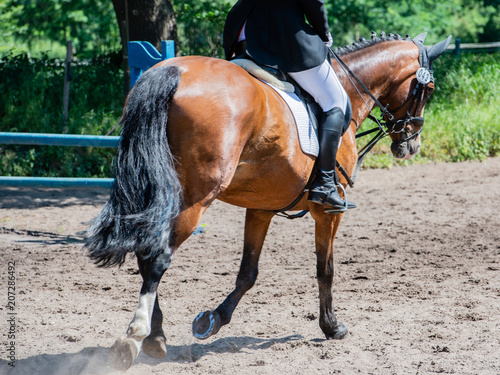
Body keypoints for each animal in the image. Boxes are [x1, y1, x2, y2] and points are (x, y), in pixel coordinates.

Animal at [86, 31, 454, 370]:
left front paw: (212, 320)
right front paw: (332, 327)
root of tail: (173, 71)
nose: (411, 145)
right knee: (156, 256)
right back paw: (134, 338)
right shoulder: (328, 211)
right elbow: (325, 269)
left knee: (145, 250)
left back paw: (157, 338)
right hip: (194, 199)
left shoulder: (261, 207)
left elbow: (248, 273)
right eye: (429, 90)